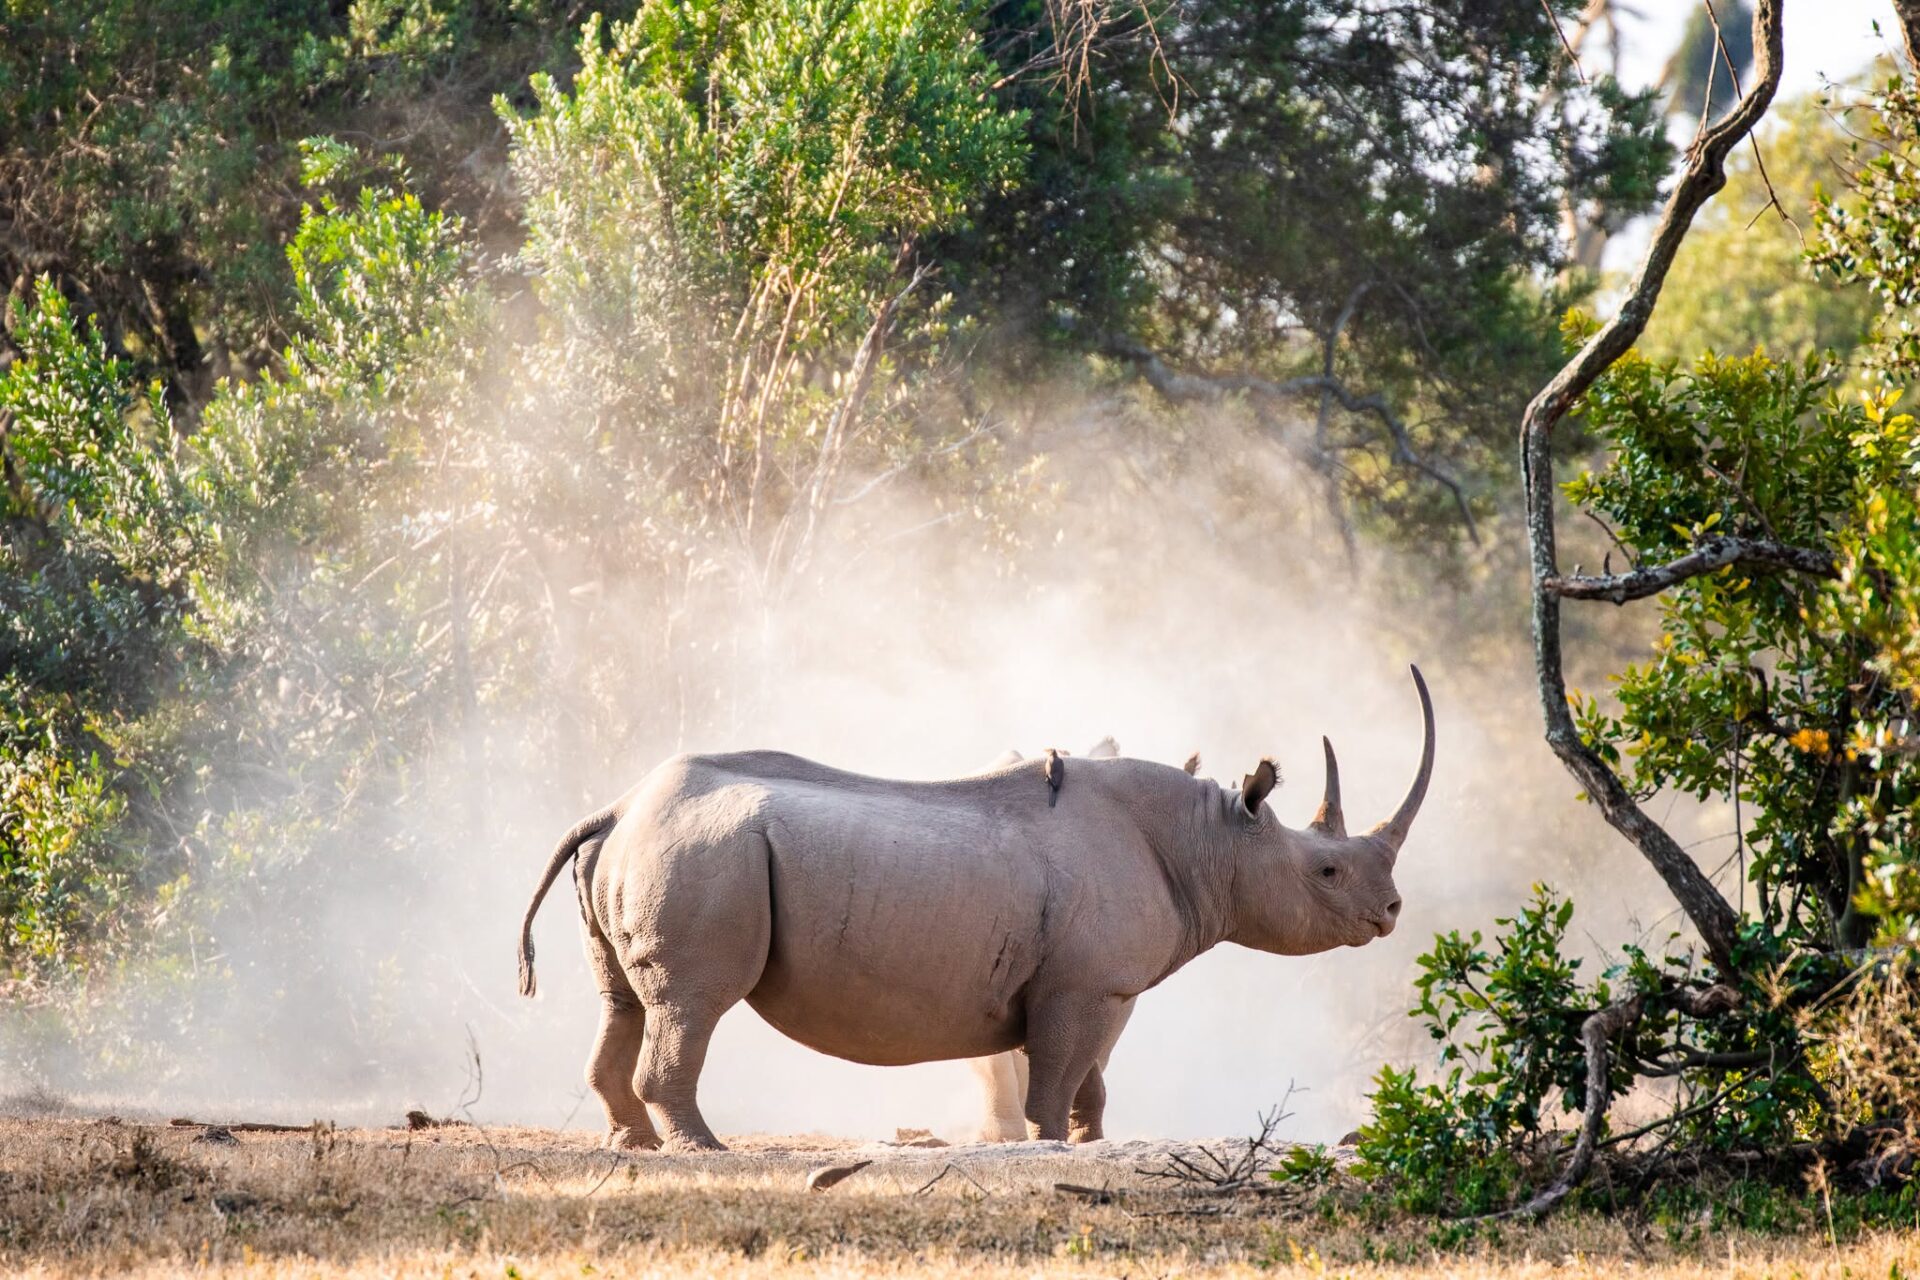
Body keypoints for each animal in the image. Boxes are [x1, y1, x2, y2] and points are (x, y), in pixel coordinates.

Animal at [517, 667, 1434, 1151]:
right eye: (1326, 871)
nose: (1391, 911)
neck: (1212, 841)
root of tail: (619, 807)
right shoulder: (1086, 986)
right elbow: (1058, 1076)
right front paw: (1054, 1146)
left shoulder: (1092, 984)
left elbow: (1092, 1078)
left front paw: (1091, 1143)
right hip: (705, 853)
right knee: (694, 1000)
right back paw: (707, 1150)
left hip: (660, 848)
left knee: (625, 1001)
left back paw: (634, 1142)